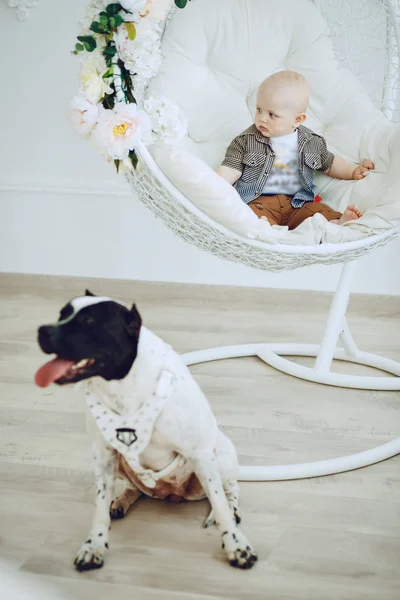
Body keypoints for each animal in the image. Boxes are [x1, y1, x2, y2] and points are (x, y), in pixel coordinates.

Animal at [36, 292, 258, 568]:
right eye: (62, 315)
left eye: (89, 322)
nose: (42, 331)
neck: (123, 388)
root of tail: (171, 493)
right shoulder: (104, 456)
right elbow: (99, 507)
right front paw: (93, 545)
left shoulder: (201, 455)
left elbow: (219, 504)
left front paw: (236, 546)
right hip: (122, 466)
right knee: (136, 488)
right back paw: (121, 501)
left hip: (221, 460)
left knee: (231, 490)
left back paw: (231, 508)